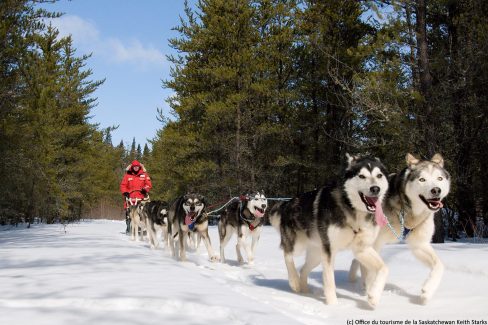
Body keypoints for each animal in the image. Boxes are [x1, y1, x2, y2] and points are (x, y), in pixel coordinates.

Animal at [268, 154, 390, 306]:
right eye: (361, 176)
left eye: (379, 175)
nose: (375, 189)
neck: (352, 209)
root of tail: (287, 203)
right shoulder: (330, 250)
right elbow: (329, 280)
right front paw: (333, 307)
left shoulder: (362, 249)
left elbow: (384, 268)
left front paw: (373, 296)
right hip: (298, 245)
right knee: (287, 255)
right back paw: (294, 282)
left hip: (316, 255)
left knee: (303, 269)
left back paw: (304, 291)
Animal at [350, 153, 450, 302]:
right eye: (422, 179)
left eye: (439, 178)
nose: (436, 190)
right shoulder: (372, 244)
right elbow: (371, 272)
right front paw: (372, 293)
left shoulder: (419, 245)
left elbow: (439, 265)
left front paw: (427, 291)